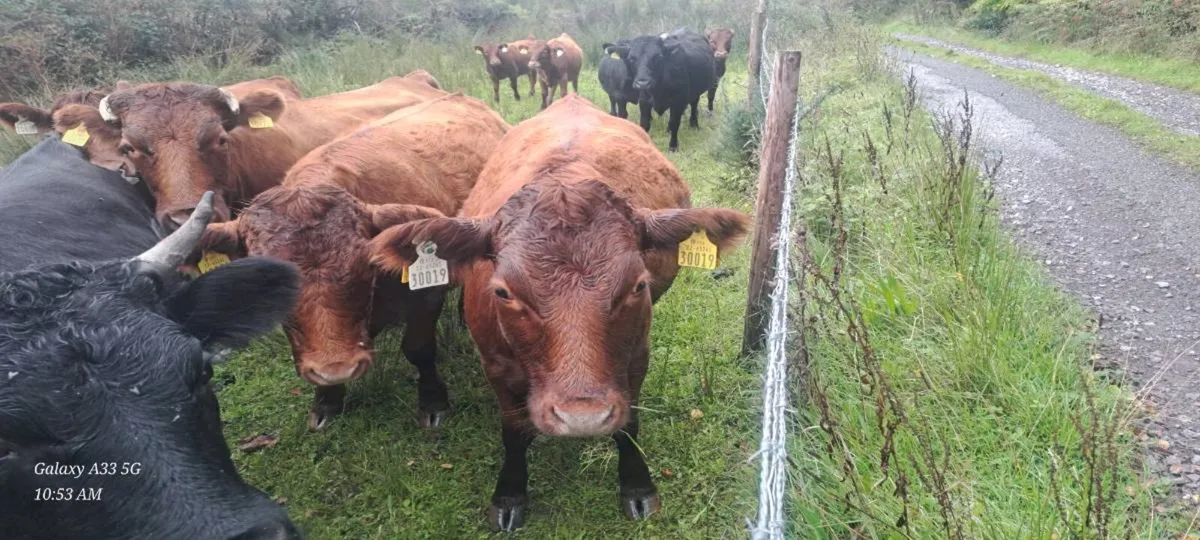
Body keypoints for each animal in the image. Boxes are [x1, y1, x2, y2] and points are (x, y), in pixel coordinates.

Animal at [198, 93, 508, 431]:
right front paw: (326, 401)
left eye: (365, 267)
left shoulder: (426, 294)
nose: (337, 369)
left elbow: (420, 349)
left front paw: (433, 403)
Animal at [369, 95, 749, 530]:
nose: (582, 417)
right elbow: (515, 429)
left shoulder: (636, 355)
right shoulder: (495, 364)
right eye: (503, 291)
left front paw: (637, 487)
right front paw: (509, 495)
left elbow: (628, 423)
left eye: (638, 285)